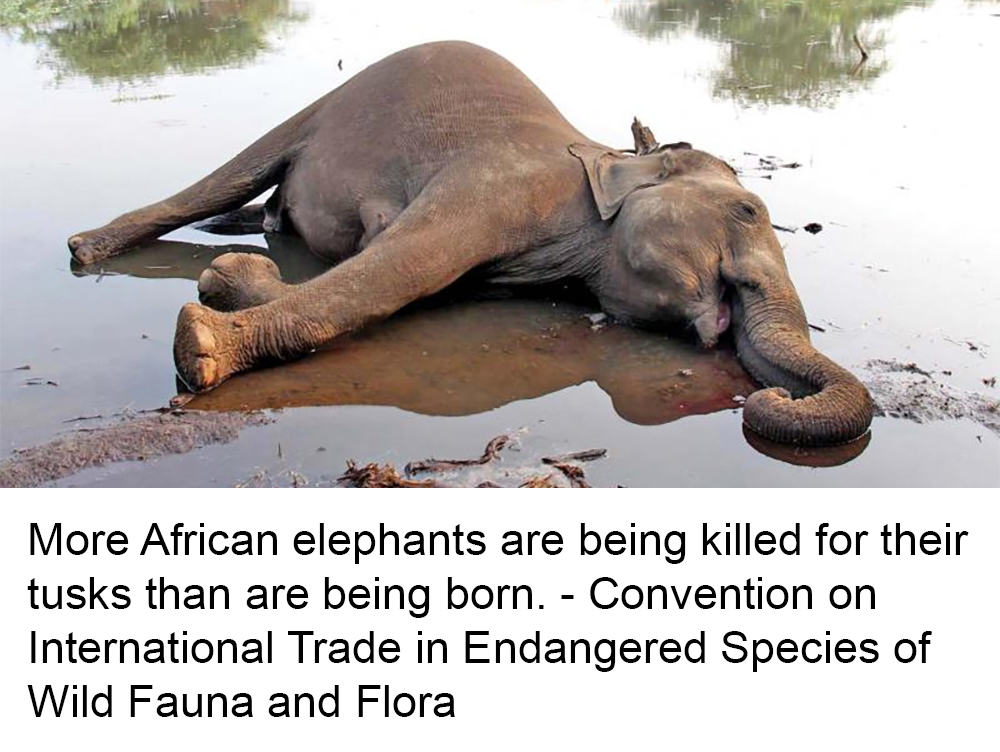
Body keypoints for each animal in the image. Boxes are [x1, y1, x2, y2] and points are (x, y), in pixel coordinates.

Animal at [68, 41, 874, 447]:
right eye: (747, 207)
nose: (769, 393)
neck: (604, 156)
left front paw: (229, 282)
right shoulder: (502, 186)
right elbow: (399, 268)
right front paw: (202, 340)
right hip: (323, 107)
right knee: (232, 175)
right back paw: (87, 249)